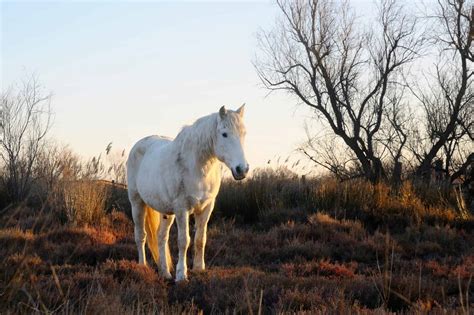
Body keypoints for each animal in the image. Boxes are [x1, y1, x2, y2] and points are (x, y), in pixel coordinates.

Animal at [128, 105, 250, 282]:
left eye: (244, 133)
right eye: (224, 134)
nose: (242, 169)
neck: (196, 166)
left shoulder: (206, 208)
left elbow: (200, 239)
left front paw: (199, 269)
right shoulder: (182, 209)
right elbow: (184, 241)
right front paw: (181, 275)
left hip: (166, 212)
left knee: (161, 237)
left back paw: (165, 273)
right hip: (137, 203)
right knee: (140, 236)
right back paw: (142, 267)